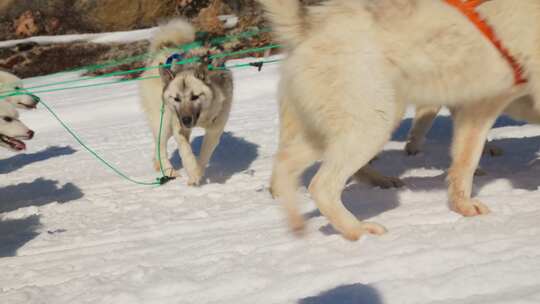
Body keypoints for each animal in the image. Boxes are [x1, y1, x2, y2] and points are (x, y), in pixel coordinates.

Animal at [138, 19, 233, 186]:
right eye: (176, 98)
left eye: (195, 96)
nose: (186, 119)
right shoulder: (179, 129)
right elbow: (186, 153)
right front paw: (193, 172)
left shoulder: (214, 131)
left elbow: (204, 155)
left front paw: (197, 172)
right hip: (164, 123)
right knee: (160, 146)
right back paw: (169, 172)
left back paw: (158, 166)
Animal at [258, 0, 540, 241]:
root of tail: (307, 32)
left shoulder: (480, 106)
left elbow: (464, 164)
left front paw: (462, 205)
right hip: (372, 126)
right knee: (322, 186)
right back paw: (357, 230)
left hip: (334, 131)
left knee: (285, 162)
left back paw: (297, 223)